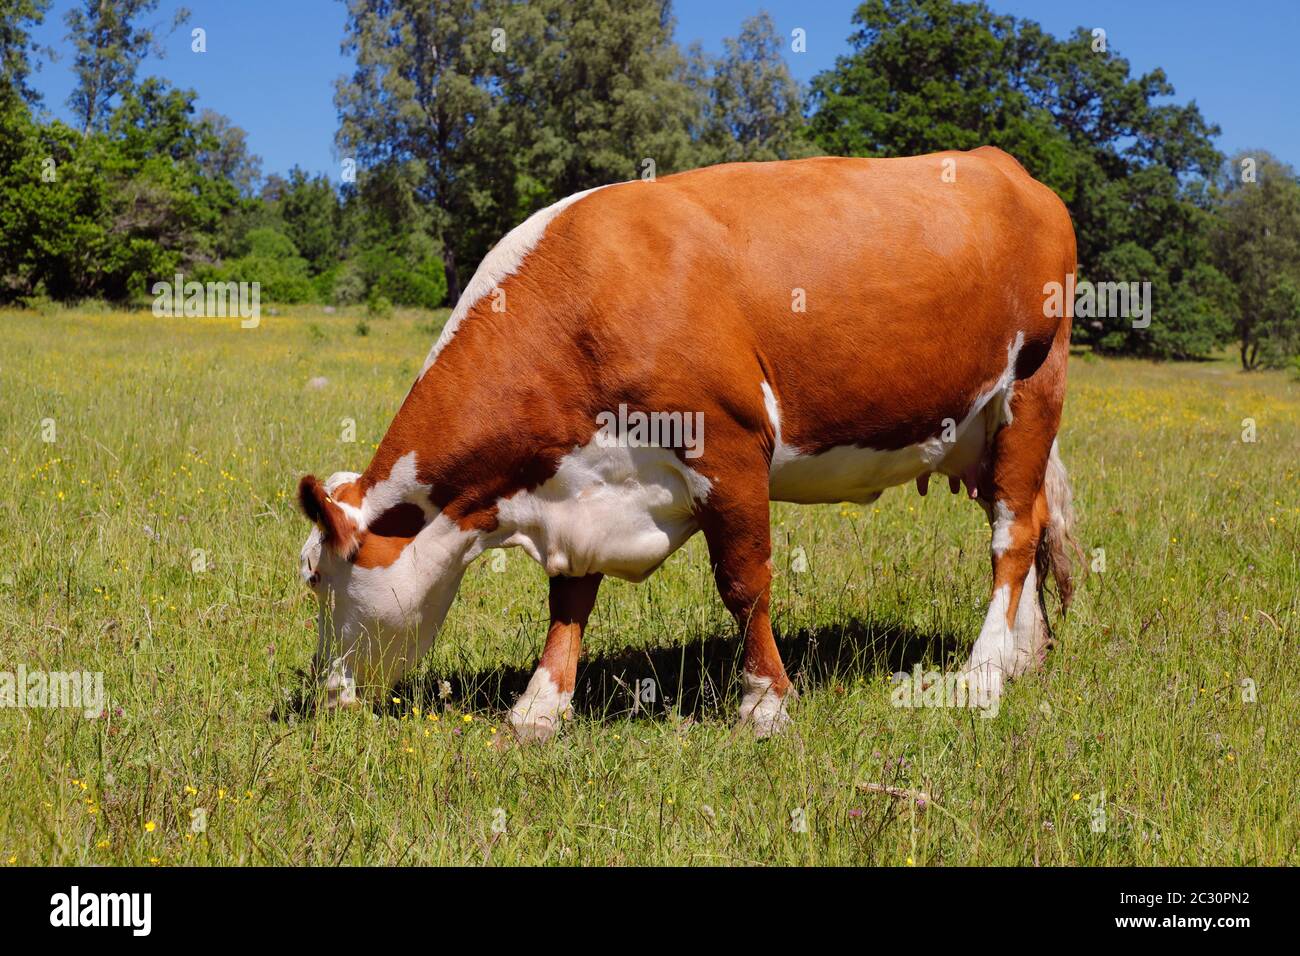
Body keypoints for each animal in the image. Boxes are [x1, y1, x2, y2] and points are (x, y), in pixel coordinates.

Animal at [297, 147, 1081, 741]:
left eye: (317, 579)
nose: (325, 697)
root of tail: (1004, 165)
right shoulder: (582, 482)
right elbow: (570, 597)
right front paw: (538, 709)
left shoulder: (728, 446)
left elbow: (744, 584)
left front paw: (764, 705)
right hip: (978, 430)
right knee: (1026, 519)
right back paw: (1023, 655)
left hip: (1031, 388)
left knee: (1012, 536)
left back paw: (982, 674)